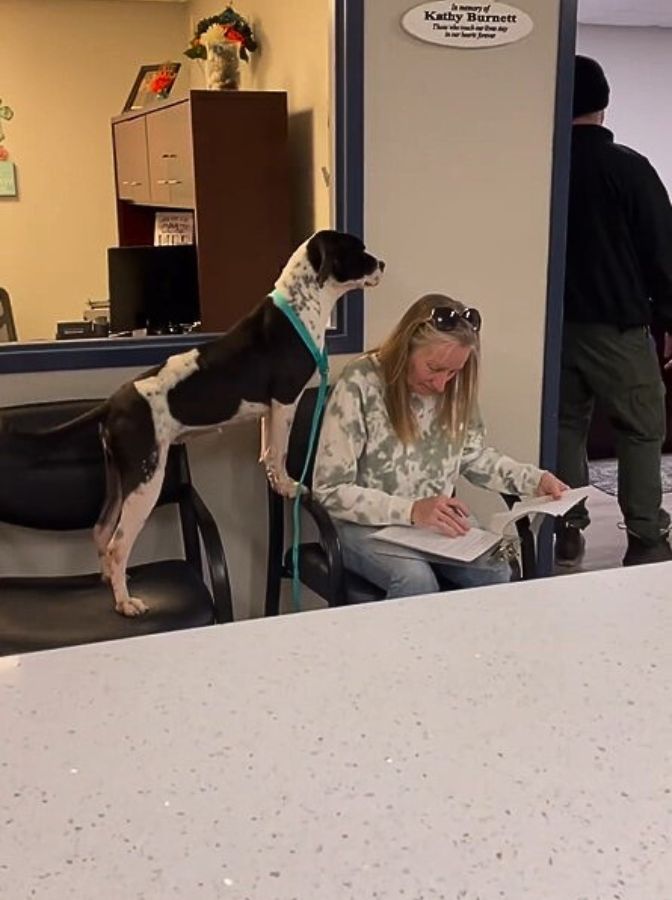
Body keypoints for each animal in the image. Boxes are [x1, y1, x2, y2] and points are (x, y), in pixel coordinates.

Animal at [21, 229, 386, 616]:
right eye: (358, 250)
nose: (382, 263)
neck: (301, 306)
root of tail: (112, 404)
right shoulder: (286, 400)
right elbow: (281, 453)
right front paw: (289, 487)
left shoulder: (268, 412)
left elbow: (269, 453)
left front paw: (276, 482)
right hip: (145, 480)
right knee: (118, 544)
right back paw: (125, 602)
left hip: (119, 479)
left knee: (102, 530)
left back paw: (113, 581)